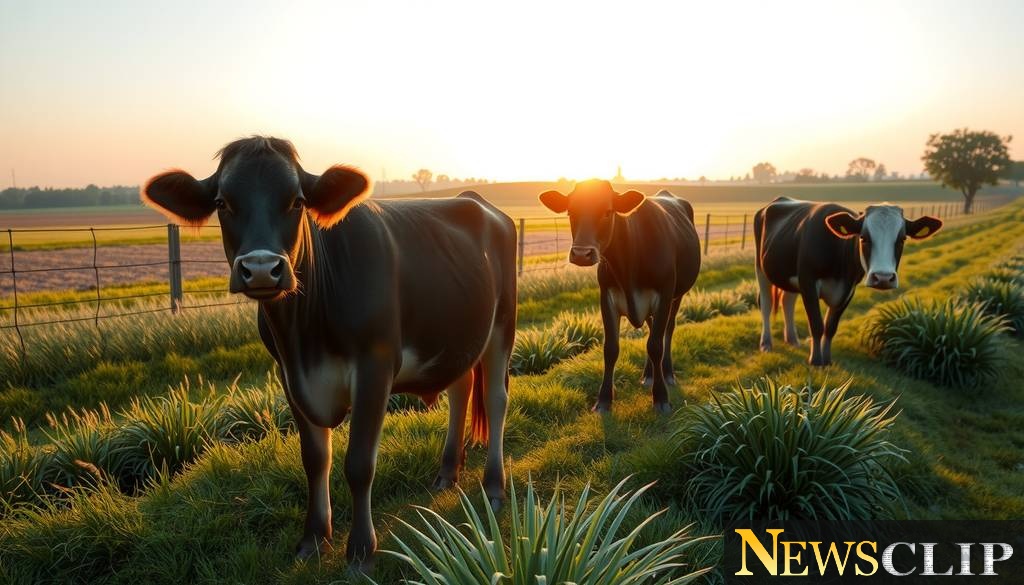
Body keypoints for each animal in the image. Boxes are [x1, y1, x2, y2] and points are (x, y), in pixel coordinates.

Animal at [142, 136, 516, 569]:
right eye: (222, 202)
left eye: (297, 201)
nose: (261, 269)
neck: (304, 337)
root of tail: (475, 199)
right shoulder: (289, 373)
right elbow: (315, 459)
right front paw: (314, 537)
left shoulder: (376, 364)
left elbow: (359, 462)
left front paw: (361, 550)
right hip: (454, 334)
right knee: (460, 390)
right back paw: (447, 473)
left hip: (503, 324)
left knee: (496, 398)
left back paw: (493, 487)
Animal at [538, 180, 701, 414]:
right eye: (570, 211)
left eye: (607, 211)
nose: (581, 254)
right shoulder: (607, 299)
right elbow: (611, 349)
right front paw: (604, 400)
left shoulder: (664, 295)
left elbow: (656, 346)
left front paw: (661, 398)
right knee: (652, 330)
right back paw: (648, 375)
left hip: (677, 295)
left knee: (667, 331)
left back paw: (667, 374)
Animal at [754, 197, 942, 366]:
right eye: (863, 238)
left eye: (902, 239)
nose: (883, 278)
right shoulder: (808, 280)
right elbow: (816, 324)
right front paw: (816, 361)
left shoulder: (848, 289)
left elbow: (830, 327)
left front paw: (827, 360)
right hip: (760, 268)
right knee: (766, 305)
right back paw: (766, 343)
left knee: (787, 301)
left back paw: (792, 340)